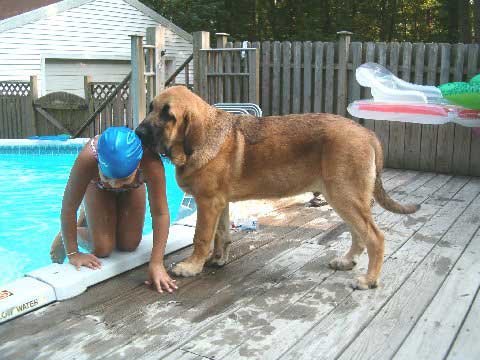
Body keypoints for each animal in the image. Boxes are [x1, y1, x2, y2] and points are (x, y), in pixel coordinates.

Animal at [136, 86, 420, 290]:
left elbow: (201, 237)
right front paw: (217, 259)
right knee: (359, 234)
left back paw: (369, 279)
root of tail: (367, 134)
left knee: (375, 237)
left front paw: (191, 266)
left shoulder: (207, 203)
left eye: (168, 115)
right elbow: (221, 233)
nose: (138, 133)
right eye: (151, 107)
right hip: (343, 198)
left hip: (345, 196)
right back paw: (347, 261)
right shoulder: (219, 203)